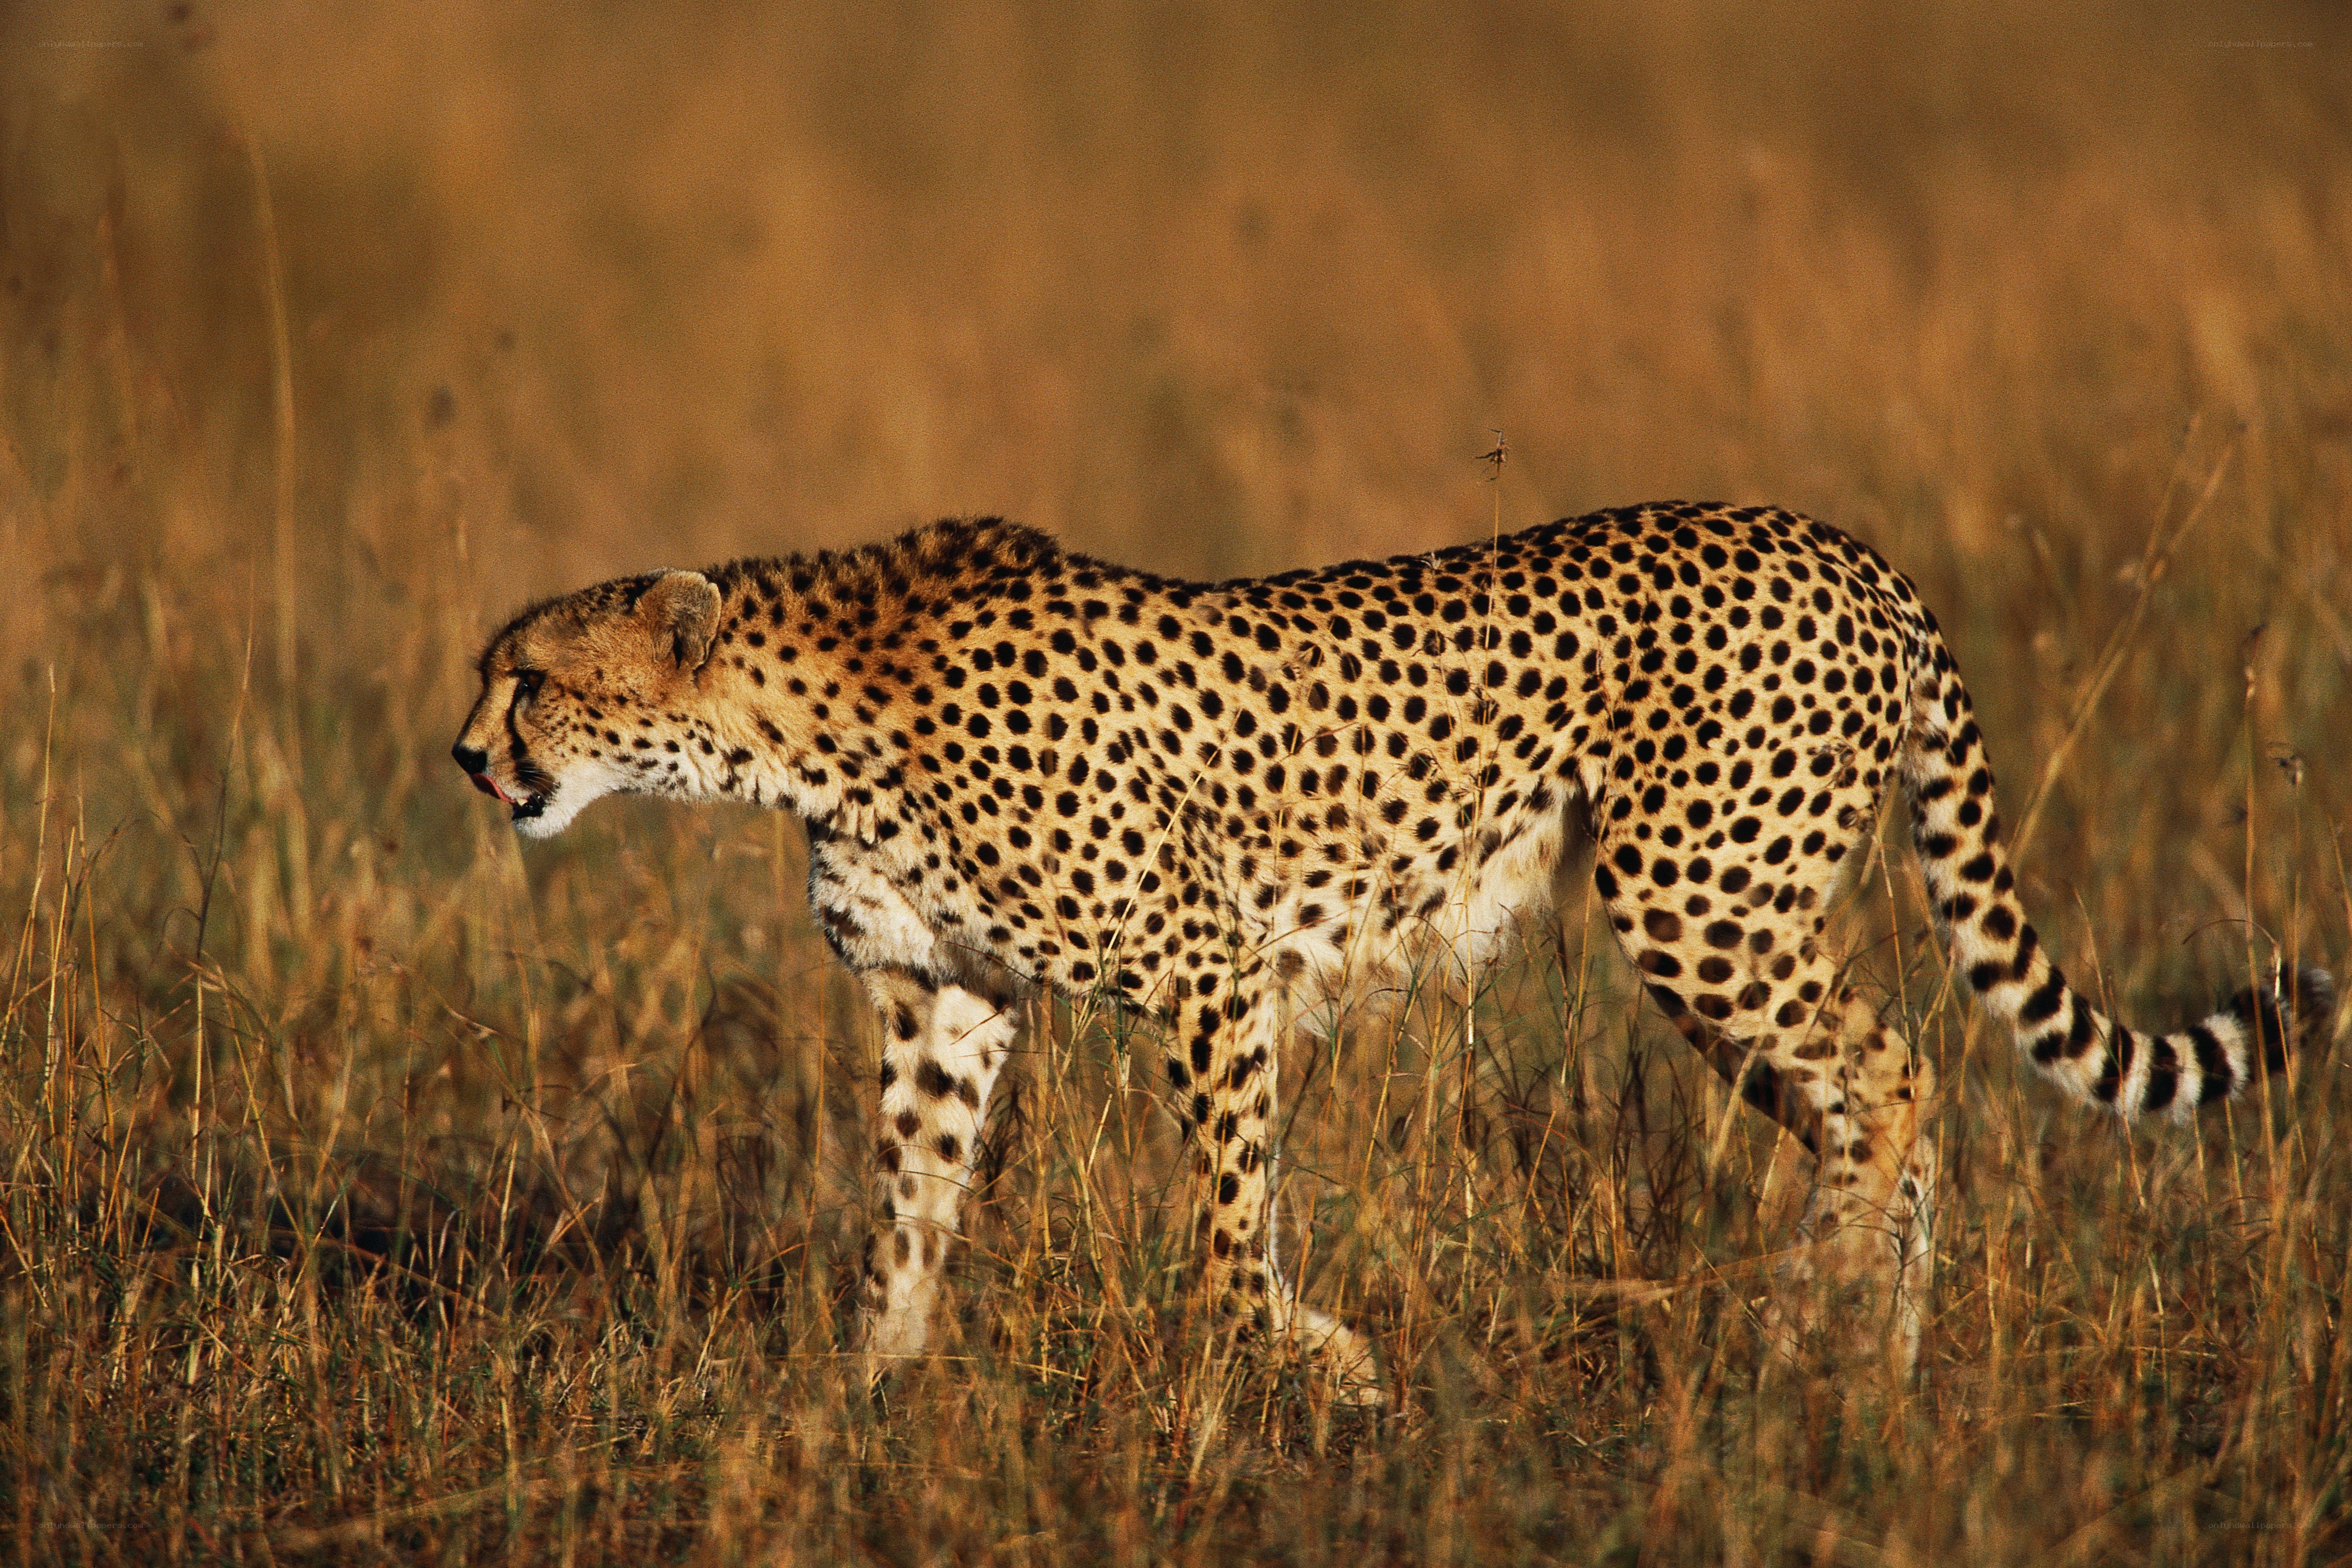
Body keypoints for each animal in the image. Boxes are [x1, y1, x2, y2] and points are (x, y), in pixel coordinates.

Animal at [453, 503, 2333, 1401]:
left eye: (530, 678)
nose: (468, 759)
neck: (803, 720)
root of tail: (1849, 552)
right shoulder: (946, 997)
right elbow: (905, 1210)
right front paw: (867, 1396)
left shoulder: (1208, 969)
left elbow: (1227, 1230)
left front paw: (1309, 1368)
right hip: (1722, 923)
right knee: (1870, 1098)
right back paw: (1877, 1354)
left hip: (1698, 899)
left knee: (1894, 1072)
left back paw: (1816, 1310)